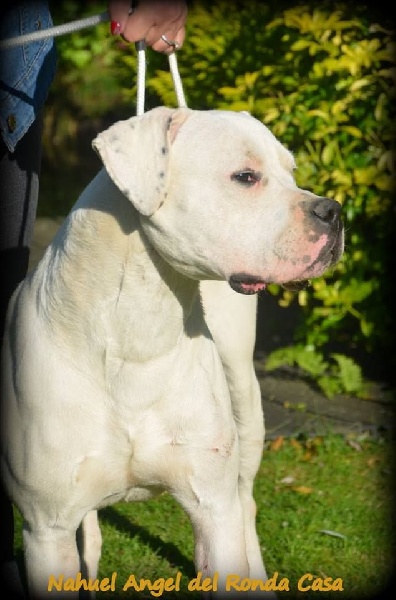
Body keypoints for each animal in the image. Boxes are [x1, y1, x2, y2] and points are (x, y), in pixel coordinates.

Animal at [0, 105, 344, 596]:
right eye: (245, 176)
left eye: (291, 172)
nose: (333, 211)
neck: (139, 328)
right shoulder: (46, 529)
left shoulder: (212, 508)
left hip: (244, 397)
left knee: (246, 499)